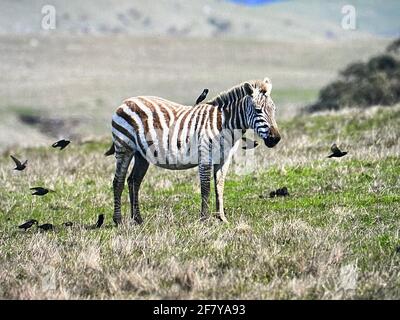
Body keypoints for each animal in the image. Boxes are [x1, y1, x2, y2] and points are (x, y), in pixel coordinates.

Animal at [110, 77, 282, 225]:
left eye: (274, 109)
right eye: (258, 110)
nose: (275, 139)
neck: (225, 124)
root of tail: (127, 101)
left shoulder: (223, 159)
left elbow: (219, 187)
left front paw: (222, 218)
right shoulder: (205, 155)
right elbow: (205, 187)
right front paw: (204, 219)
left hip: (142, 154)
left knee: (134, 181)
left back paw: (137, 219)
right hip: (124, 147)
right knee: (118, 181)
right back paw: (118, 221)